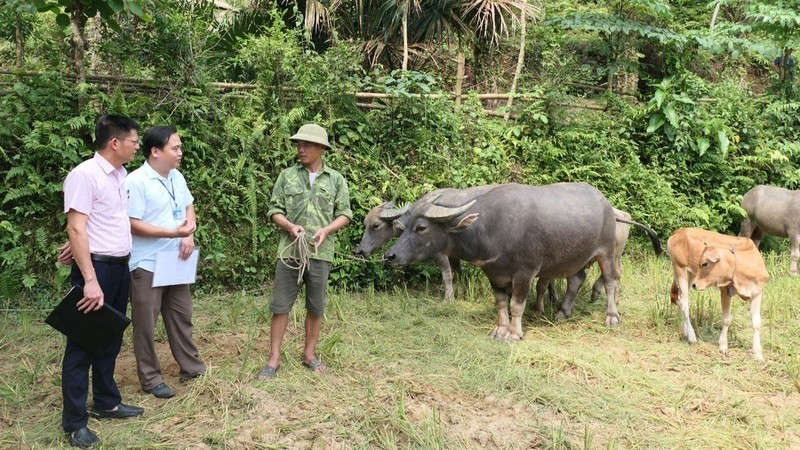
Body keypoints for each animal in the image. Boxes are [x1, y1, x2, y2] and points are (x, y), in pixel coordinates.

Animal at [384, 181, 628, 340]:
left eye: (421, 227)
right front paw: (500, 330)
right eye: (404, 227)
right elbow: (501, 304)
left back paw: (612, 317)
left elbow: (516, 305)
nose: (390, 256)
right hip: (574, 258)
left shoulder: (524, 273)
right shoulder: (495, 274)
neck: (492, 230)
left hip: (607, 252)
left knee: (610, 281)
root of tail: (607, 205)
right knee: (576, 279)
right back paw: (562, 312)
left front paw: (513, 333)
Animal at [664, 229, 772, 362]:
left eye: (705, 263)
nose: (696, 285)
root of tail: (680, 231)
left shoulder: (757, 292)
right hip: (680, 270)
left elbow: (757, 323)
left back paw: (683, 330)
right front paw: (723, 346)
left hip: (690, 275)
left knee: (679, 300)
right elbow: (727, 319)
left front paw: (758, 354)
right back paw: (691, 336)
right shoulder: (725, 289)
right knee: (684, 302)